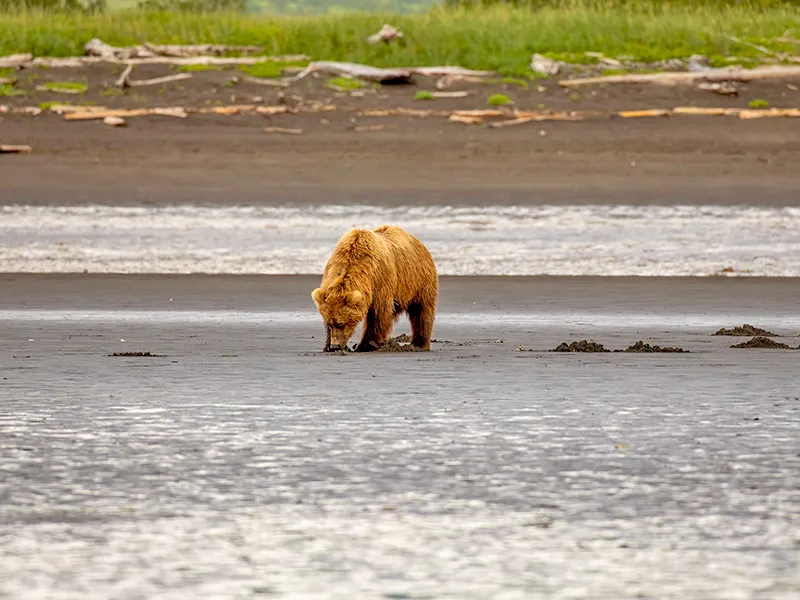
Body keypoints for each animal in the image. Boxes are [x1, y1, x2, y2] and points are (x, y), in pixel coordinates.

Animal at [311, 225, 438, 353]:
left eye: (341, 323)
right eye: (330, 323)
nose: (334, 346)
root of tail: (419, 242)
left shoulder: (380, 280)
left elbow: (379, 312)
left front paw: (366, 345)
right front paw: (327, 346)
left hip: (418, 280)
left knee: (421, 310)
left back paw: (419, 344)